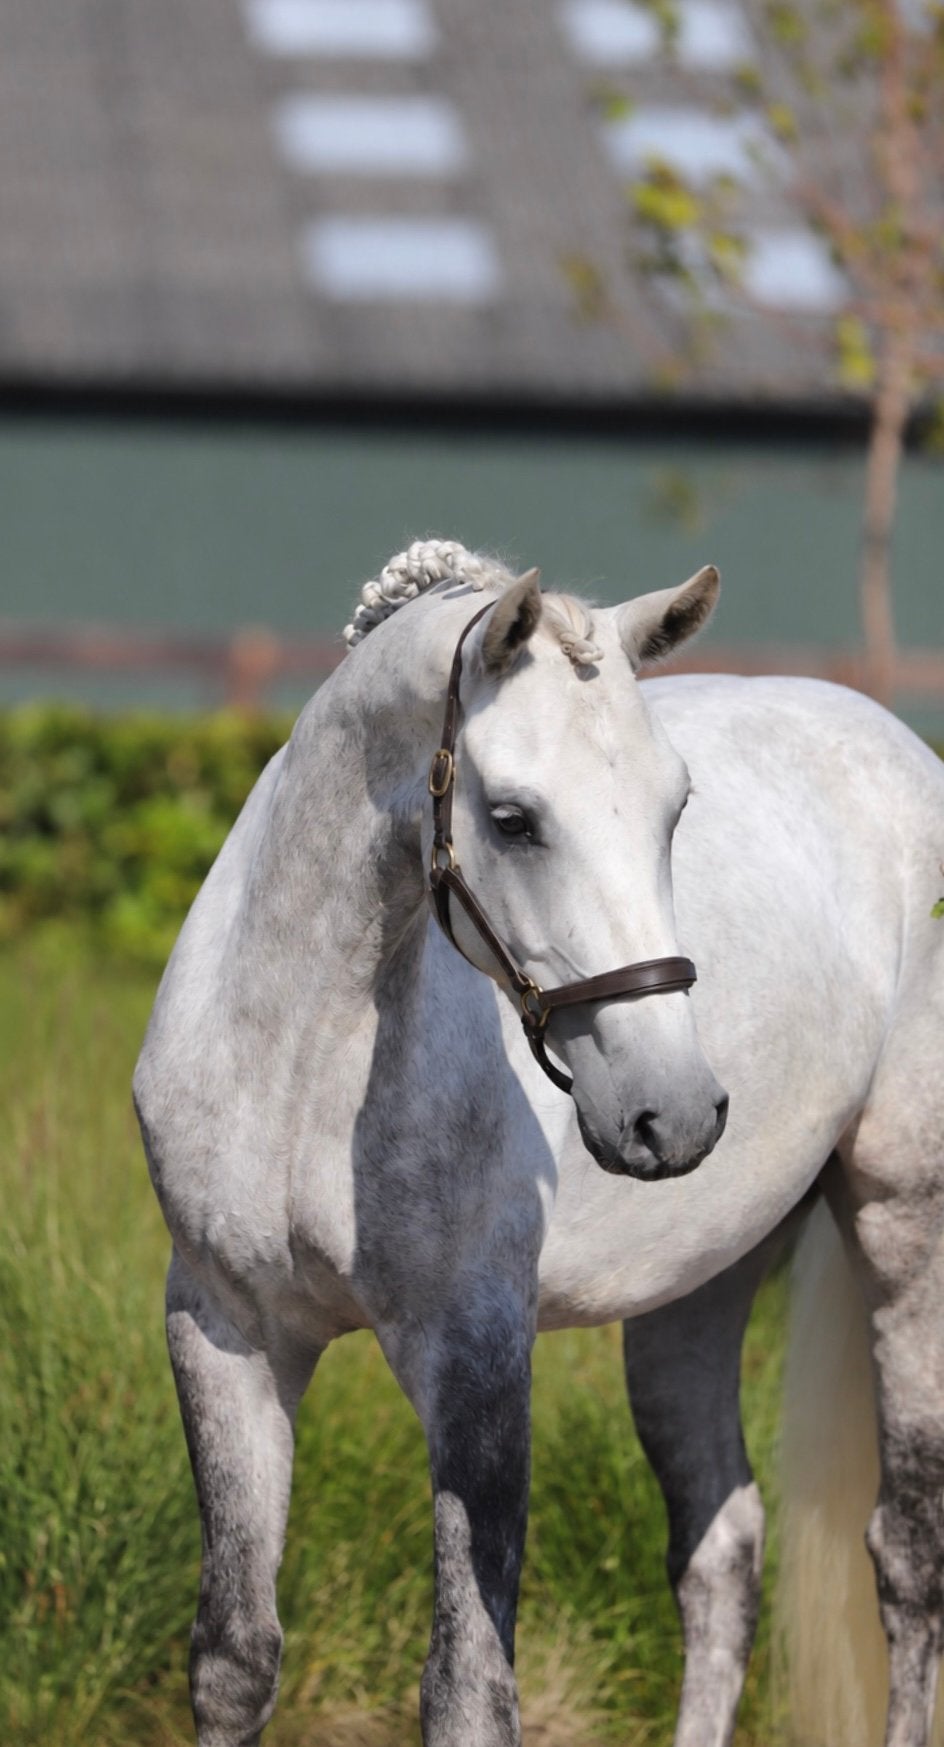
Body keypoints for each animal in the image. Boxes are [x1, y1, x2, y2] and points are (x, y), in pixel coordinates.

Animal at [133, 539, 944, 1747]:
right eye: (512, 819)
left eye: (675, 808)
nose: (673, 1109)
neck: (299, 1052)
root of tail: (895, 744)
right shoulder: (225, 1327)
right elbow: (235, 1656)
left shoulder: (475, 1355)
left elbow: (468, 1688)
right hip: (695, 1288)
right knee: (720, 1552)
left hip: (904, 1227)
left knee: (904, 1555)